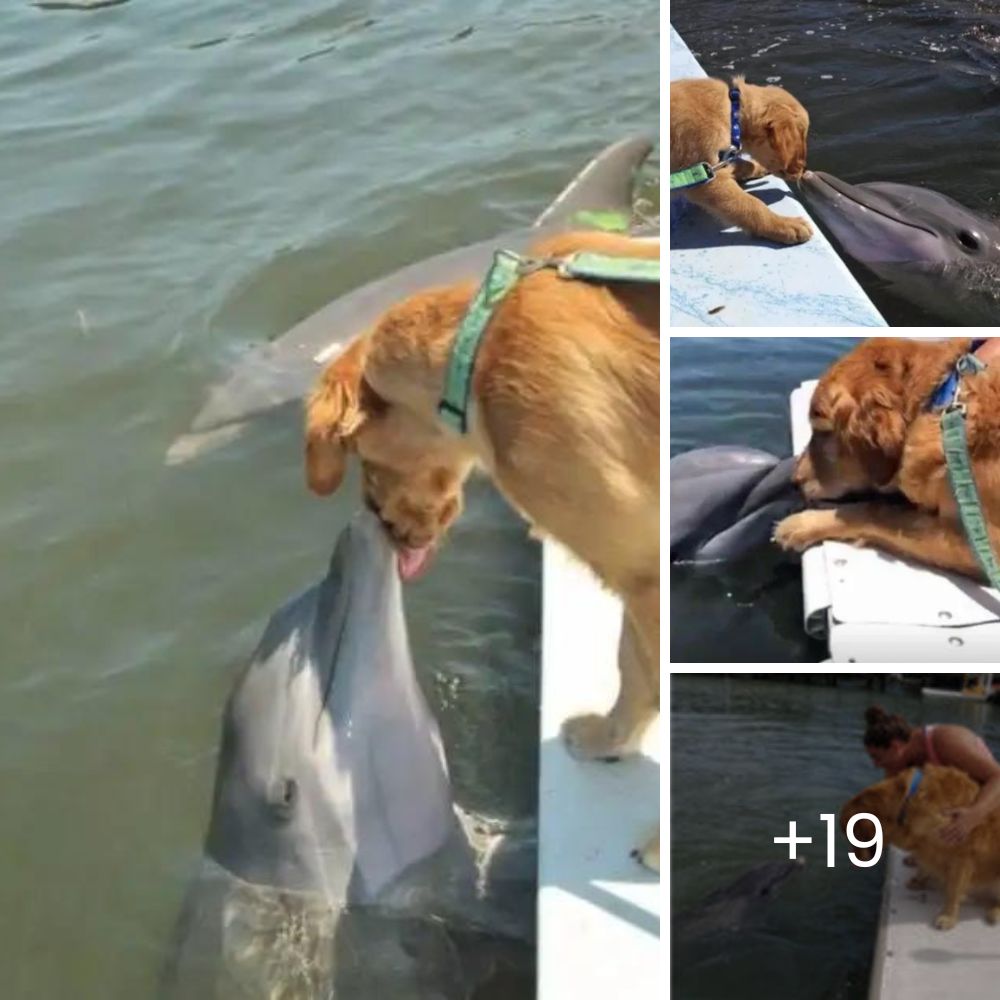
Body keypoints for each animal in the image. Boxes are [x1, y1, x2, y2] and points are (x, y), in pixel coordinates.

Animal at [304, 230, 664, 872]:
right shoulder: (639, 561)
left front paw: (662, 844)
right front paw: (609, 740)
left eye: (364, 461)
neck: (478, 348)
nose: (382, 525)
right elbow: (634, 667)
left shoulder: (644, 568)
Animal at [672, 75, 812, 244]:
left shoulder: (715, 165)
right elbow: (750, 205)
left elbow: (740, 164)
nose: (803, 171)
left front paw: (757, 167)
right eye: (801, 137)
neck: (732, 113)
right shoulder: (706, 179)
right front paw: (784, 224)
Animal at [776, 340, 1000, 584]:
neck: (938, 399)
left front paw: (803, 524)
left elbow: (876, 512)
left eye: (821, 430)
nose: (794, 481)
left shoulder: (988, 546)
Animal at [840, 764, 1000, 928]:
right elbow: (924, 865)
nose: (856, 859)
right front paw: (919, 880)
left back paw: (995, 912)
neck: (906, 805)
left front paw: (948, 916)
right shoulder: (925, 846)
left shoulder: (962, 854)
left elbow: (953, 891)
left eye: (852, 833)